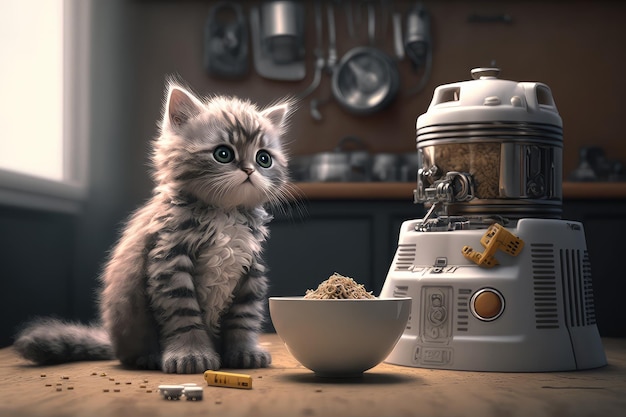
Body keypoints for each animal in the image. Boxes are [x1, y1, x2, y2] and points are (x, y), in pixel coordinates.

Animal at [14, 79, 292, 372]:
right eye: (223, 154)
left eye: (264, 159)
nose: (249, 170)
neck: (224, 213)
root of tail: (114, 344)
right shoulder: (169, 259)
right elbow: (184, 317)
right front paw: (191, 356)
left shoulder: (250, 268)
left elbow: (244, 318)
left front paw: (244, 352)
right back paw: (146, 358)